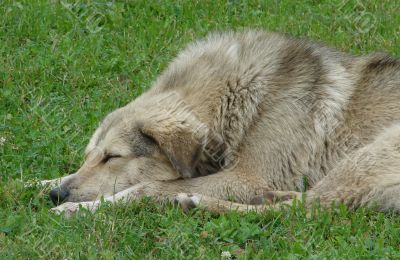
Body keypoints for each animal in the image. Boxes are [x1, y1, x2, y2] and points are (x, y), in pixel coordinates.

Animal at [41, 30, 400, 216]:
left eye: (112, 157)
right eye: (90, 156)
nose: (58, 195)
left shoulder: (249, 178)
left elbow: (146, 187)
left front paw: (81, 208)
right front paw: (38, 183)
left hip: (365, 157)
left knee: (308, 210)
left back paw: (200, 203)